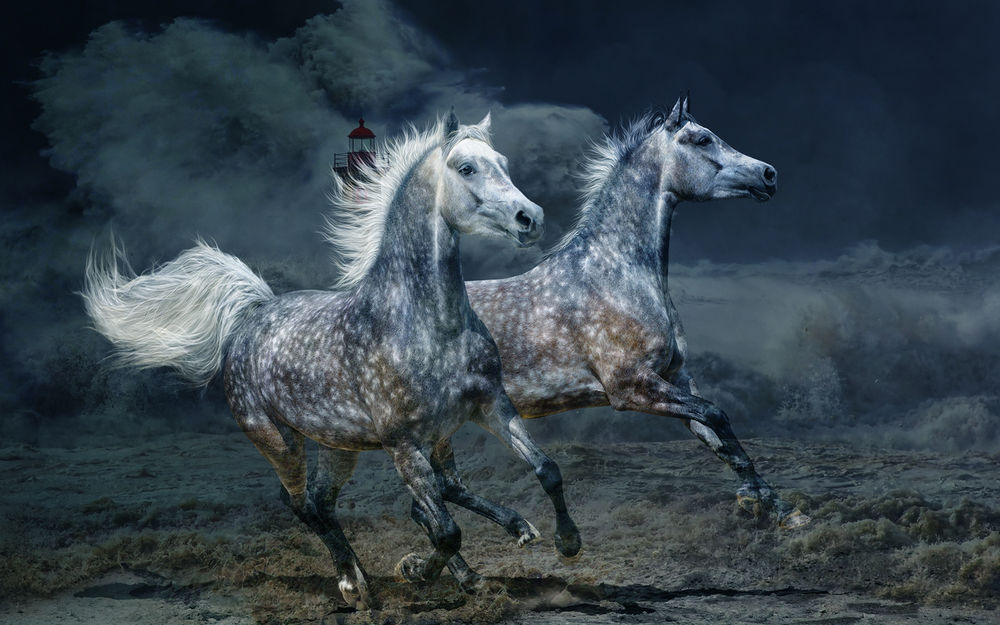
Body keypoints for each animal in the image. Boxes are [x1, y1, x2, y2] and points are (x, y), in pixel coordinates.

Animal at [82, 112, 581, 610]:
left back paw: (376, 574)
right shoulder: (404, 445)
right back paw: (352, 584)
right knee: (302, 504)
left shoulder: (490, 407)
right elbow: (445, 531)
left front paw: (563, 541)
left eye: (503, 162)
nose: (530, 218)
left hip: (342, 444)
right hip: (279, 440)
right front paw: (416, 571)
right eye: (466, 168)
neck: (427, 323)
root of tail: (253, 314)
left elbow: (545, 470)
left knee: (333, 501)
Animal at [456, 95, 809, 529]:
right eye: (703, 139)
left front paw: (781, 509)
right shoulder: (630, 387)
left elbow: (720, 438)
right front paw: (756, 501)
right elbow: (718, 415)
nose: (769, 174)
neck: (615, 276)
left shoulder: (676, 379)